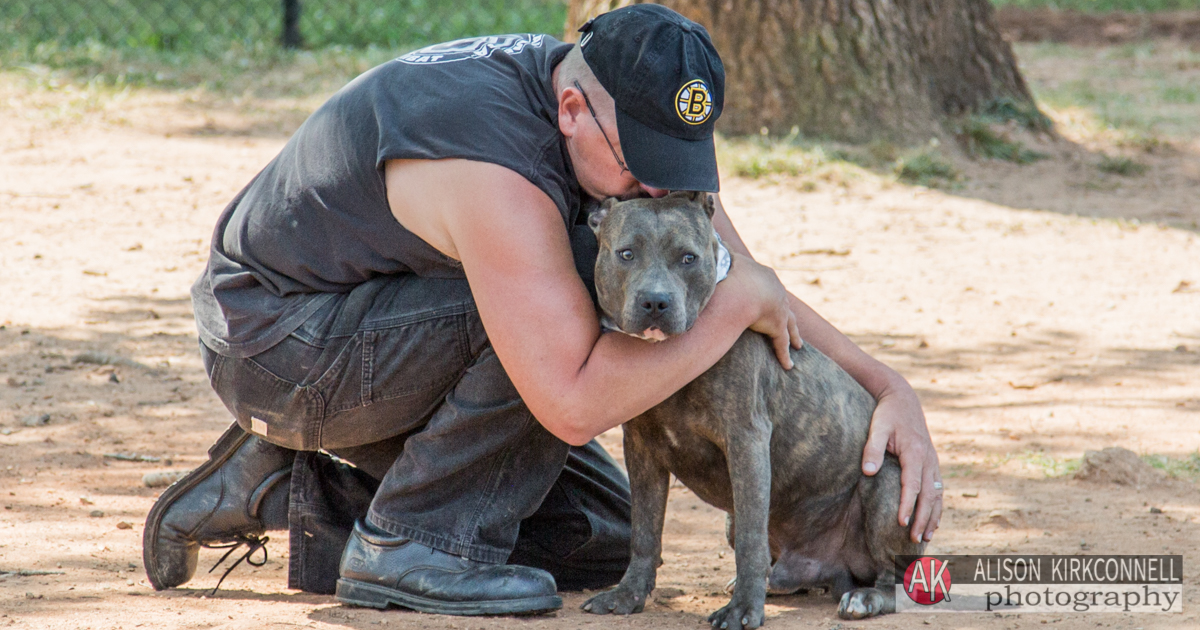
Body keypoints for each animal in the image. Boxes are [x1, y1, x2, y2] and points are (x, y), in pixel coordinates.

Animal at [583, 190, 926, 624]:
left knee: (893, 579)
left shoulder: (746, 442)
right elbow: (644, 531)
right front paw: (627, 595)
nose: (655, 302)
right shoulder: (641, 449)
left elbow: (750, 539)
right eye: (626, 254)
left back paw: (863, 599)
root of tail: (831, 569)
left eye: (688, 257)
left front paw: (744, 610)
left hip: (888, 488)